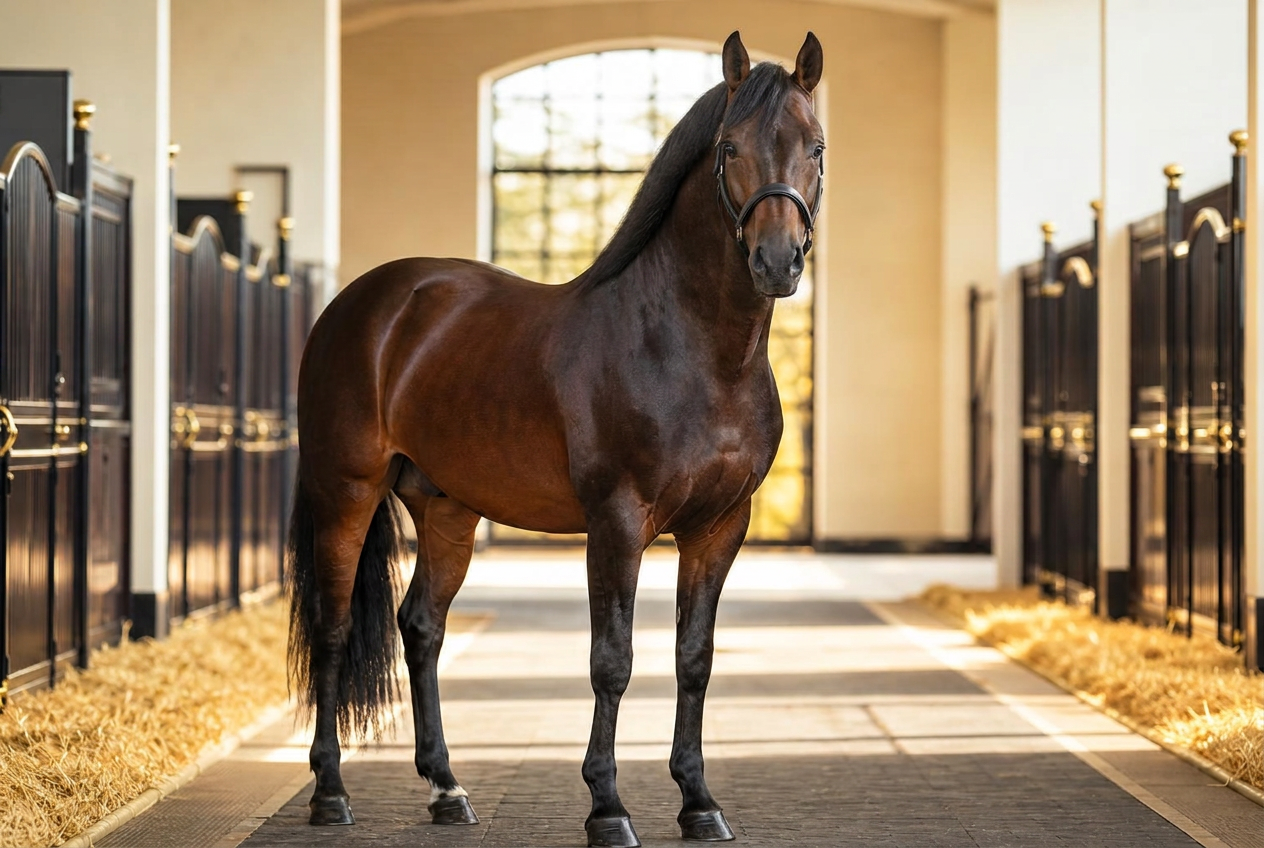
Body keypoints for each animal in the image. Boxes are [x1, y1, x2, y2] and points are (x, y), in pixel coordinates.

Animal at [287, 30, 825, 848]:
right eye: (729, 147)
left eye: (816, 147)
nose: (777, 261)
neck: (695, 350)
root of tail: (361, 303)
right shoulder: (617, 521)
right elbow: (613, 659)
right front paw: (608, 807)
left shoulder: (720, 528)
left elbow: (693, 658)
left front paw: (699, 802)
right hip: (345, 492)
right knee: (336, 626)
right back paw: (330, 792)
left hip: (448, 508)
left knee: (422, 626)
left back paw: (448, 790)